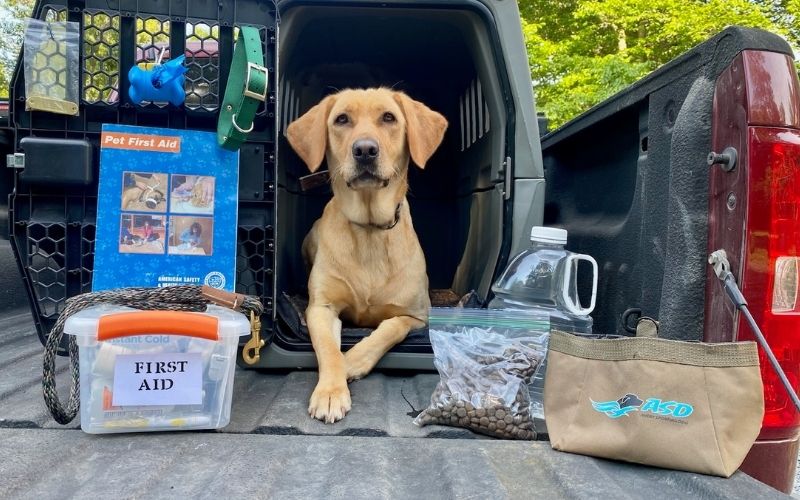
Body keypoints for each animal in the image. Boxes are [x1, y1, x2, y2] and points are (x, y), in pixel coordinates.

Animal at [286, 88, 447, 423]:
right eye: (341, 119)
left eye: (389, 117)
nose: (364, 150)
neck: (370, 228)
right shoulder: (320, 308)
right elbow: (329, 349)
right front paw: (331, 391)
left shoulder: (417, 314)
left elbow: (389, 328)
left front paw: (353, 360)